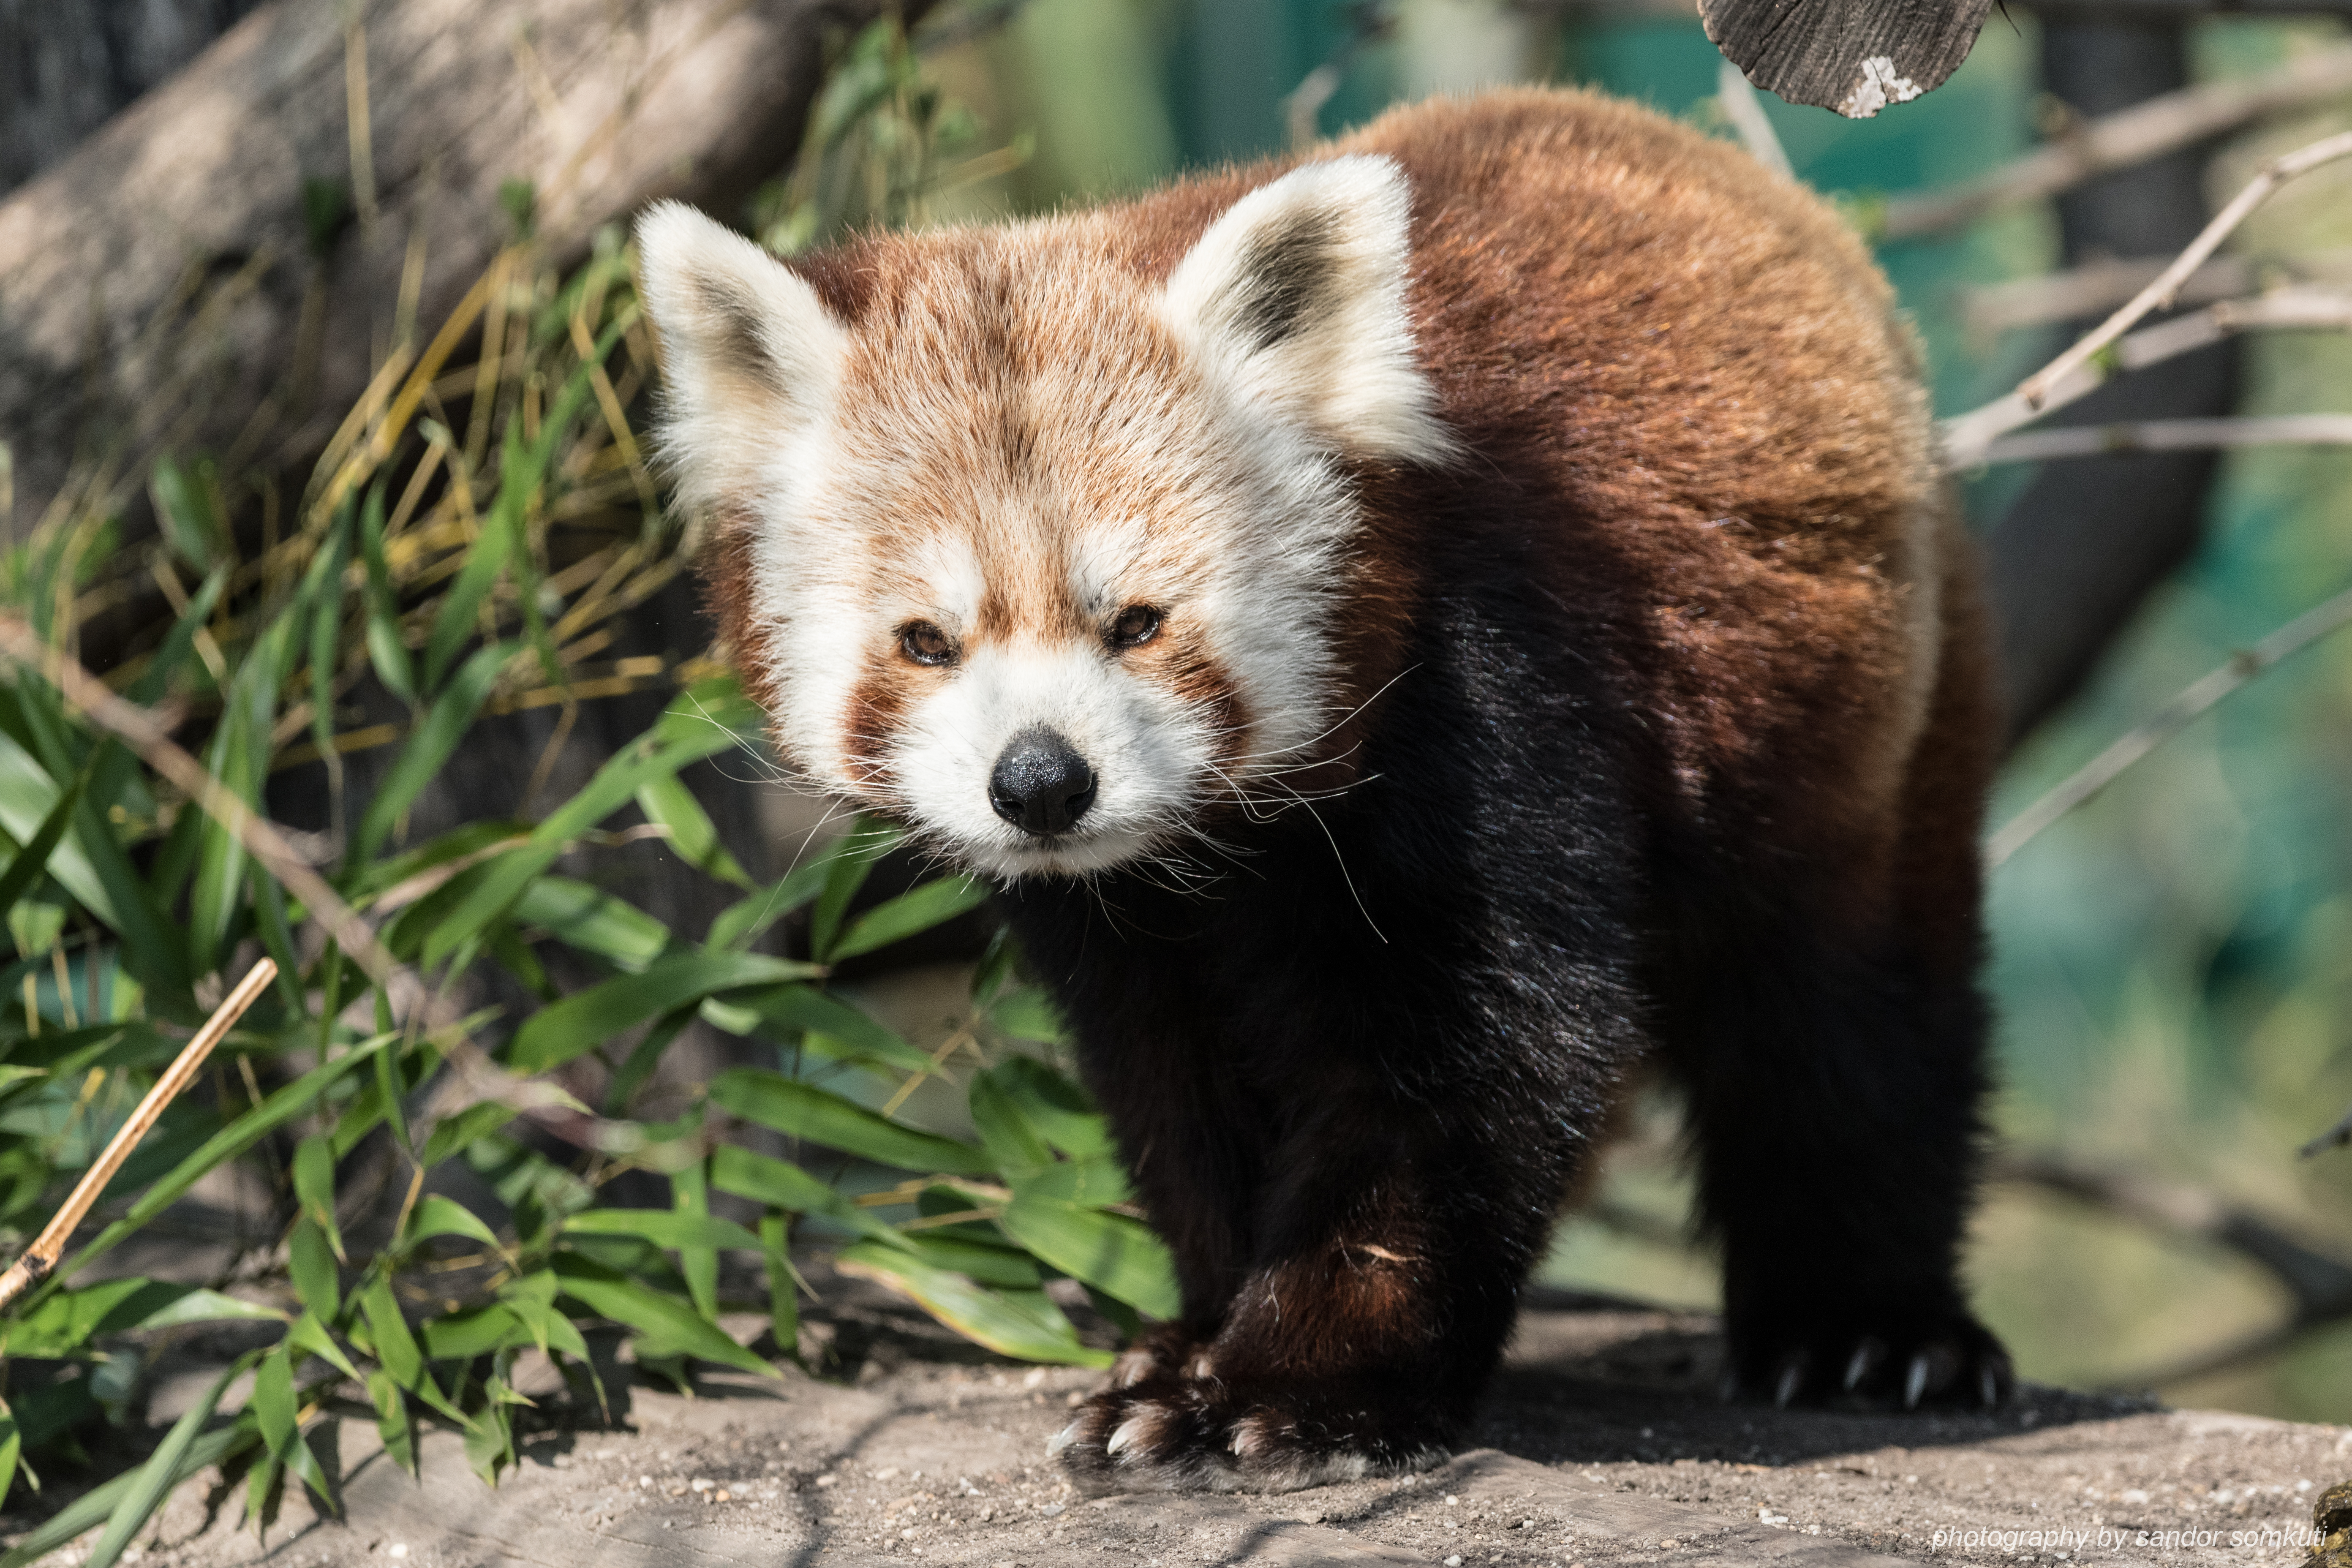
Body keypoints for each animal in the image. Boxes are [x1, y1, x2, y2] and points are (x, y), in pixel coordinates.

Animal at [635, 89, 2013, 1495]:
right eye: (926, 642)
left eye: (1138, 623)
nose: (1040, 780)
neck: (1215, 853)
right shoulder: (1123, 933)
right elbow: (1181, 1089)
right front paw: (1186, 1346)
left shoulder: (1487, 702)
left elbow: (1466, 1071)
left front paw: (1292, 1390)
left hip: (1861, 728)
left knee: (1842, 1024)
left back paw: (1869, 1333)